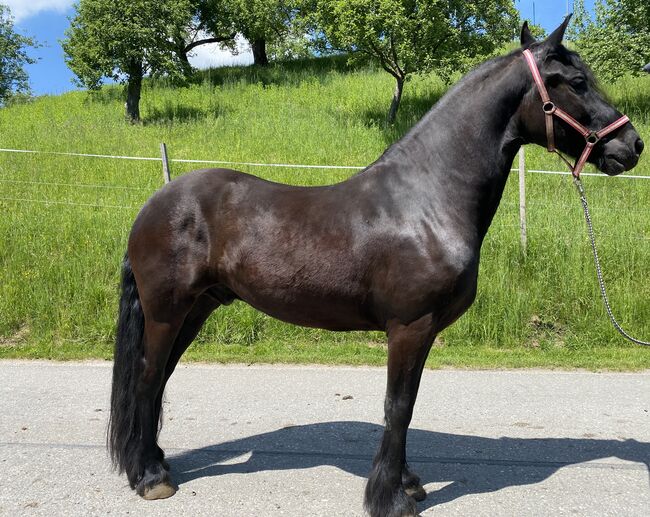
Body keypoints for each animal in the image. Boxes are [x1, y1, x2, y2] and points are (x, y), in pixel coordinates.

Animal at [109, 19, 640, 516]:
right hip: (167, 311)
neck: (428, 200)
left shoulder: (423, 330)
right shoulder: (409, 325)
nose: (631, 146)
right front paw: (390, 497)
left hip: (196, 309)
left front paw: (407, 483)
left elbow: (407, 403)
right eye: (575, 81)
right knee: (148, 378)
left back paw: (155, 464)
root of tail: (154, 203)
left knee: (158, 380)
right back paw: (150, 477)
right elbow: (398, 406)